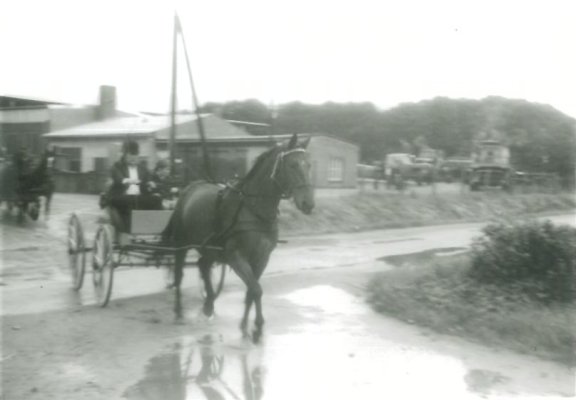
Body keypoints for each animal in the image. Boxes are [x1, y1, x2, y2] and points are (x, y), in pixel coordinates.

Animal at [162, 134, 316, 340]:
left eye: (309, 165)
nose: (308, 203)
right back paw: (179, 311)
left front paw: (244, 324)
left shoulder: (261, 259)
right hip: (182, 243)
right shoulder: (236, 257)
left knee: (203, 266)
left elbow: (252, 290)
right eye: (292, 165)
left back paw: (208, 305)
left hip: (210, 249)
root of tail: (190, 187)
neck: (254, 210)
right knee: (179, 273)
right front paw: (257, 326)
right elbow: (256, 289)